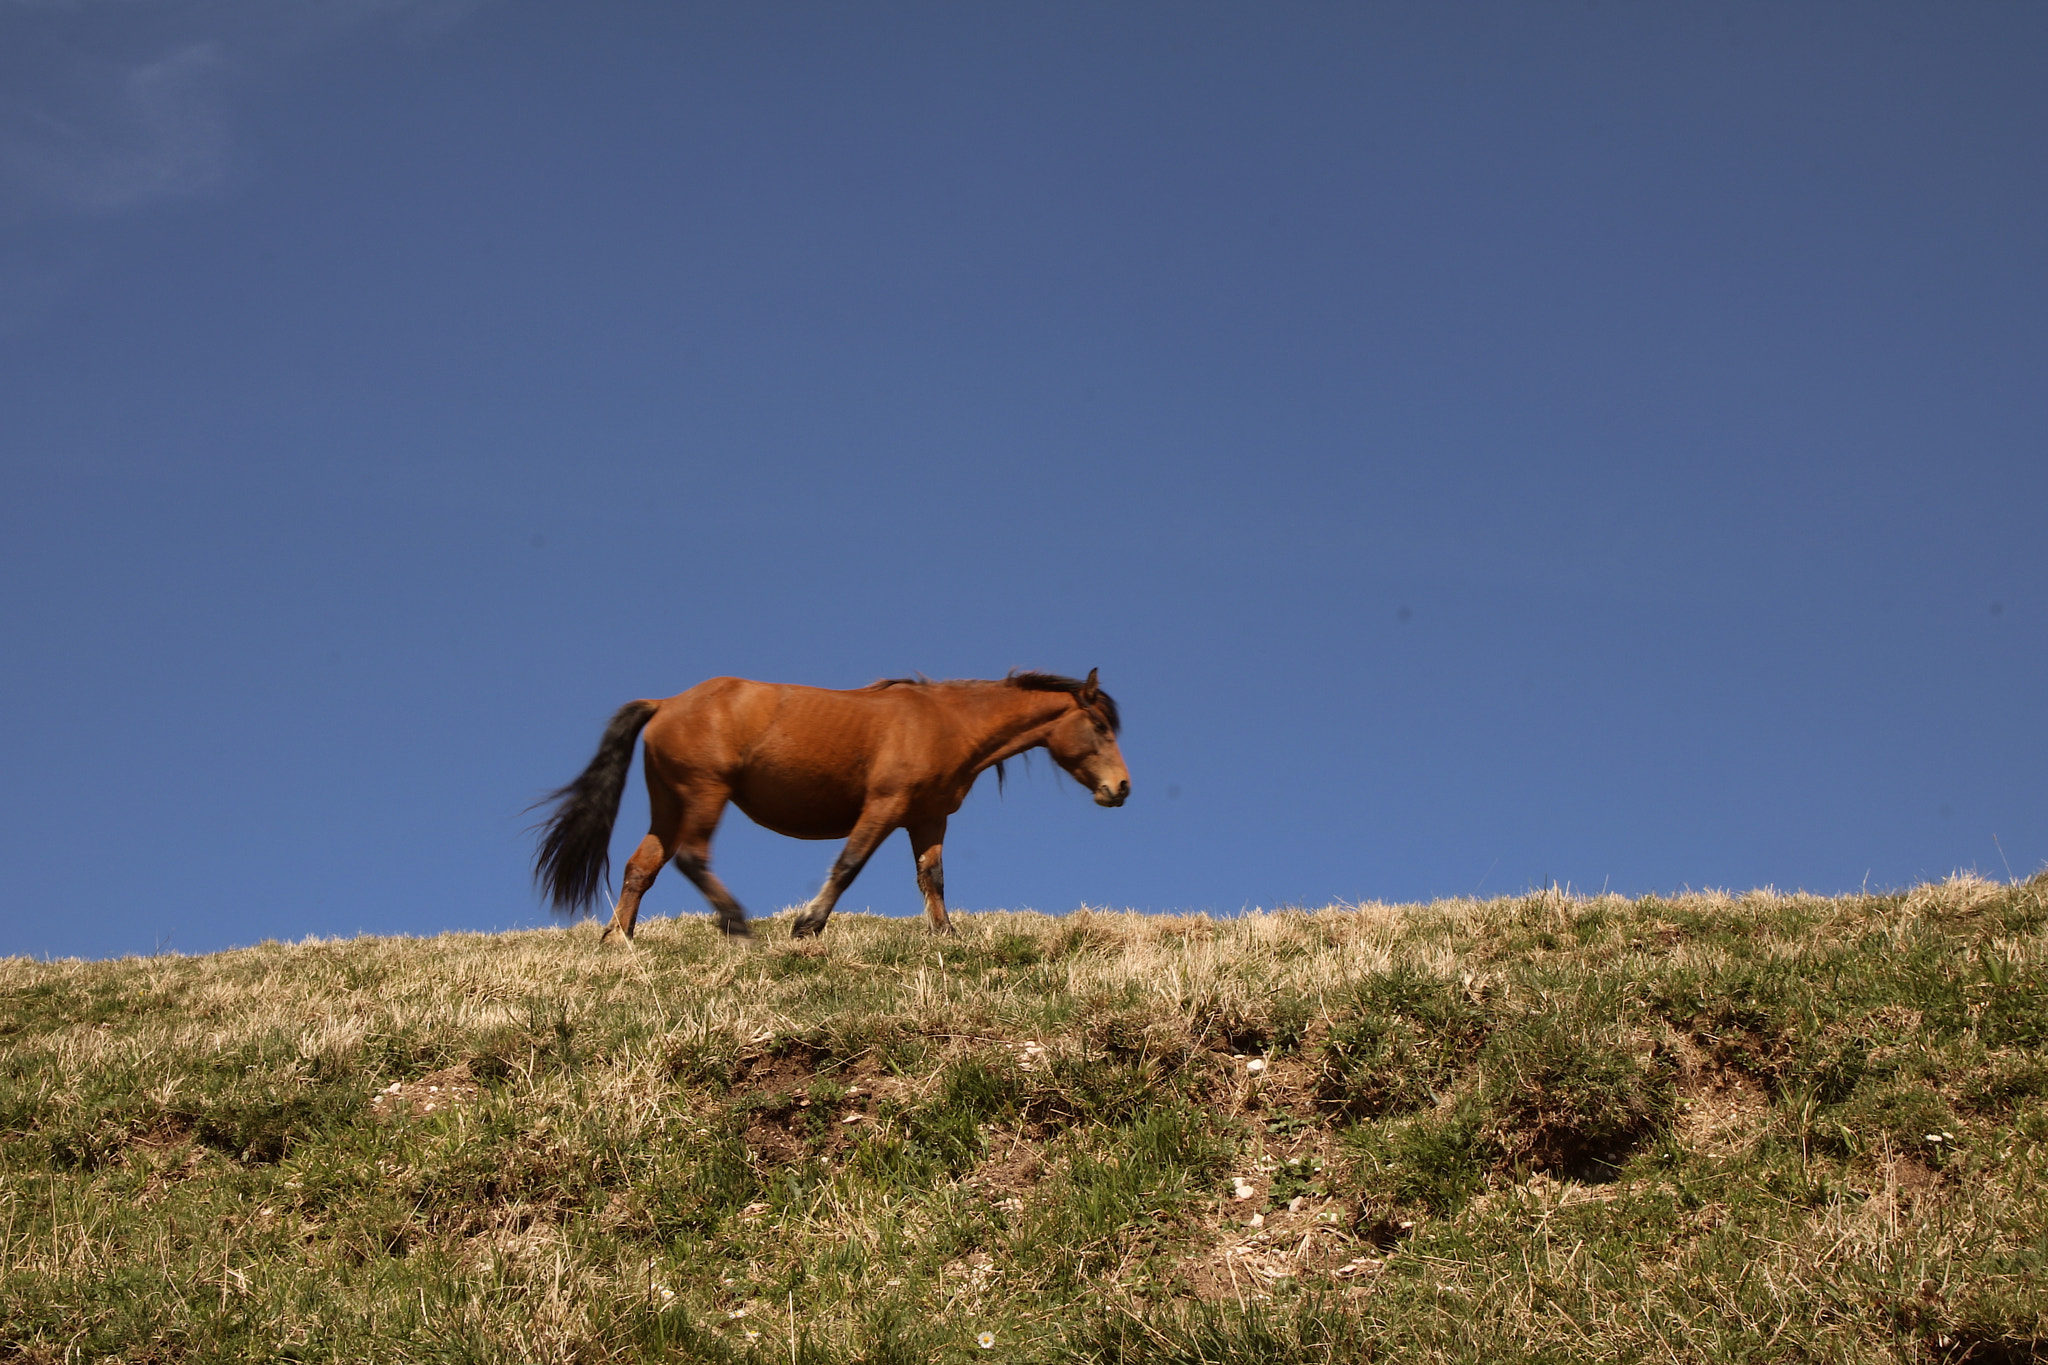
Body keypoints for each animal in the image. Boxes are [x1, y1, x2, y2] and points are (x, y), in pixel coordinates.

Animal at [536, 671, 1130, 941]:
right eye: (1100, 728)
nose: (1121, 787)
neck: (945, 722)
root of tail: (666, 703)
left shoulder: (927, 817)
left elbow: (933, 878)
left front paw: (947, 936)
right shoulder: (884, 807)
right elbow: (848, 865)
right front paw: (808, 924)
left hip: (671, 803)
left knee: (642, 866)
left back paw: (619, 939)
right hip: (706, 794)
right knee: (690, 858)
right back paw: (736, 922)